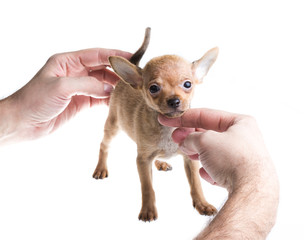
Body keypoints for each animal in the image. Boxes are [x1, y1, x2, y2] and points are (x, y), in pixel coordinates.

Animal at [92, 28, 218, 221]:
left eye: (187, 84)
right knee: (104, 145)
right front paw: (148, 209)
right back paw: (100, 168)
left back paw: (161, 162)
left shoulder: (190, 159)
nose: (174, 101)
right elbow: (147, 187)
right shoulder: (142, 161)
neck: (168, 129)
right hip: (113, 125)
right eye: (153, 88)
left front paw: (202, 204)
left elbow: (196, 184)